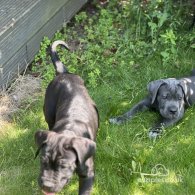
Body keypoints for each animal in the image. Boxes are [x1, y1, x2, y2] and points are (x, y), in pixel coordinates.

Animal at [34, 40, 99, 195]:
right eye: (42, 161)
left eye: (63, 166)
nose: (47, 186)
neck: (68, 131)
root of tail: (62, 73)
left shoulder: (88, 174)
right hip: (49, 112)